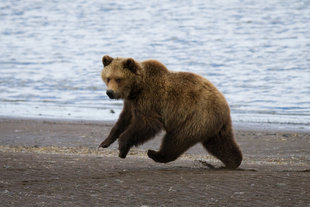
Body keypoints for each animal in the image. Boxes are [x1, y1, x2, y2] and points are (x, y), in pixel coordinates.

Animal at [99, 55, 242, 169]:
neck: (137, 88)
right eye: (108, 78)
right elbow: (124, 119)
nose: (110, 92)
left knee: (176, 139)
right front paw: (104, 142)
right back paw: (233, 161)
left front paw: (122, 148)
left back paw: (155, 153)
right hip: (214, 127)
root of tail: (225, 106)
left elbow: (147, 123)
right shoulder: (132, 102)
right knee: (220, 144)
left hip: (195, 118)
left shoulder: (150, 99)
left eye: (119, 79)